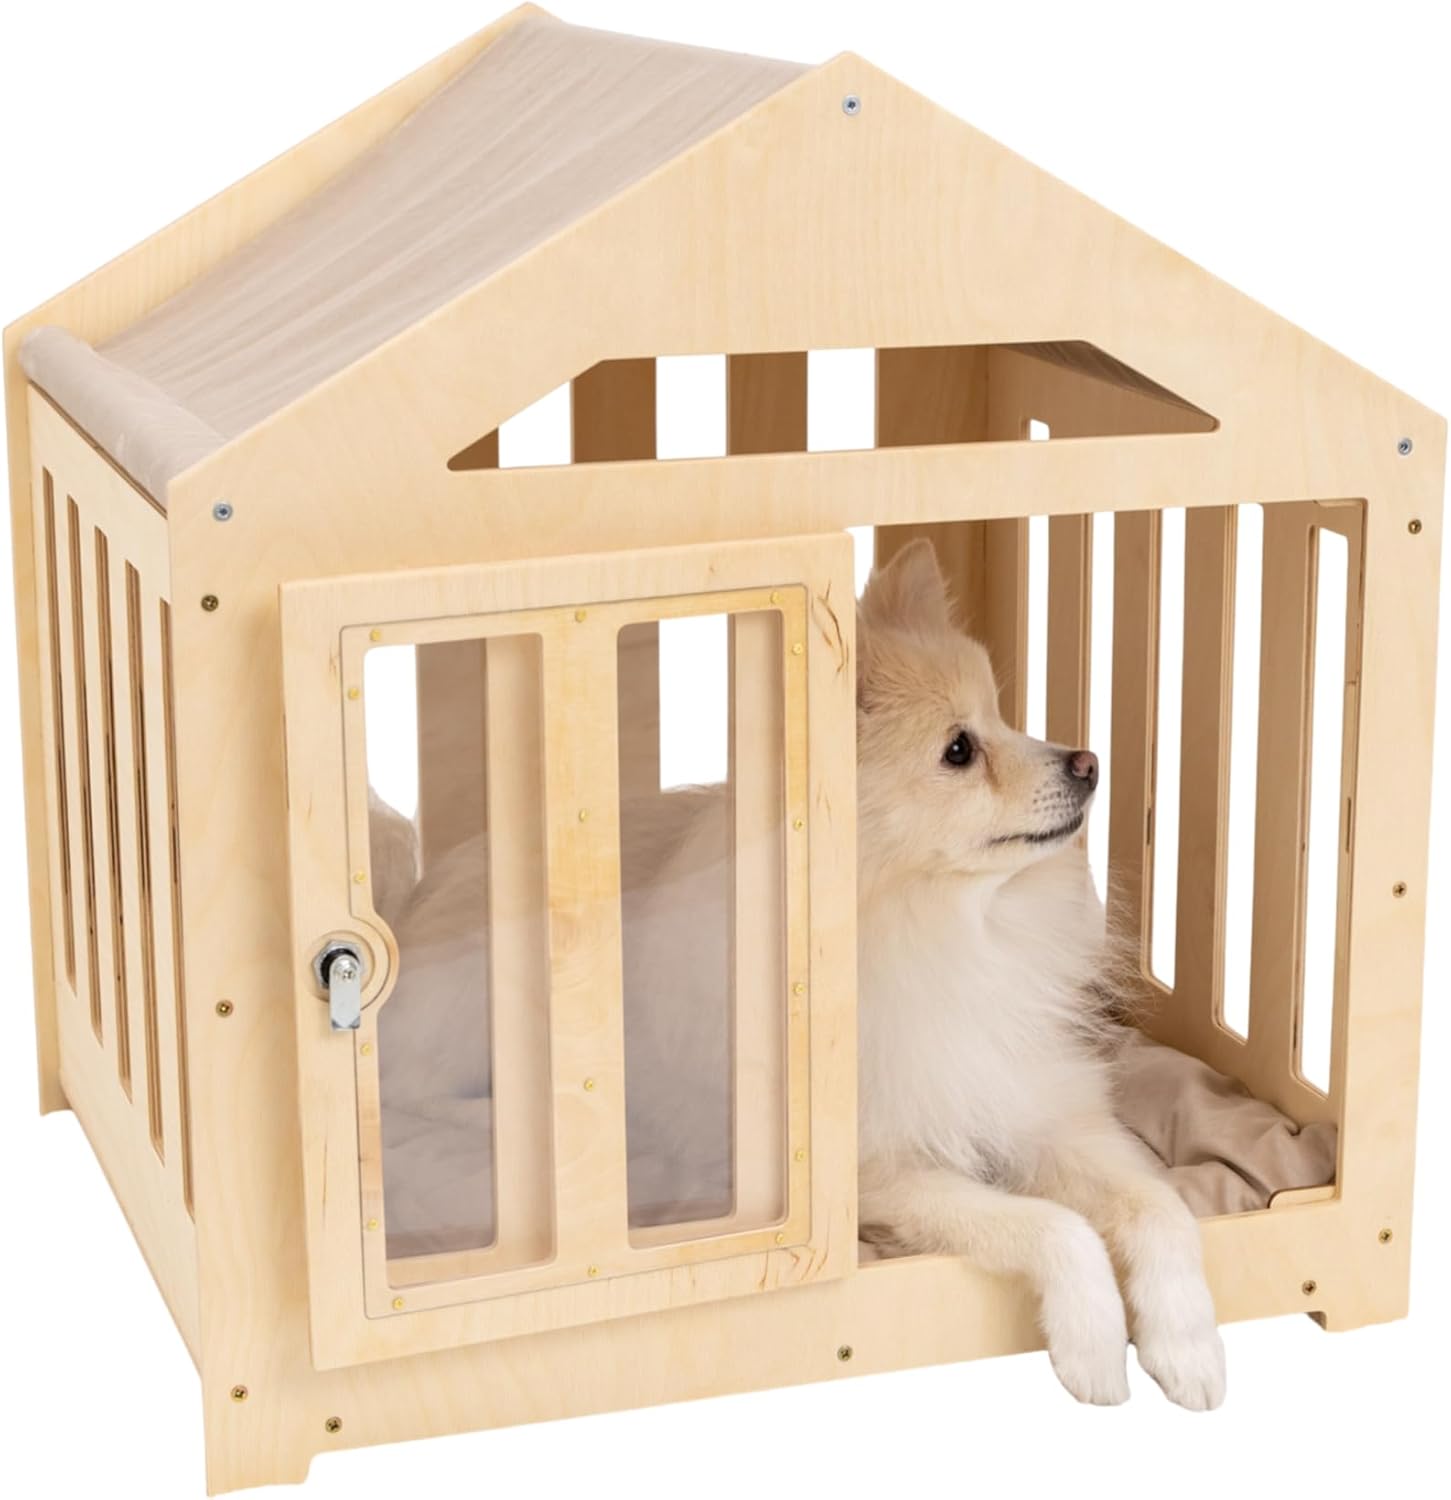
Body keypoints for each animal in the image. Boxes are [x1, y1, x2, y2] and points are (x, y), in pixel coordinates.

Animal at [373, 537, 1225, 1409]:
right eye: (959, 749)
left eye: (1000, 717)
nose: (1086, 760)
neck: (943, 928)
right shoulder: (880, 1170)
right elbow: (1056, 1228)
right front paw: (1092, 1344)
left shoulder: (1044, 1111)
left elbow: (1160, 1205)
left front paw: (1189, 1348)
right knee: (412, 1097)